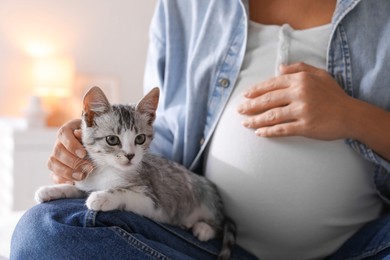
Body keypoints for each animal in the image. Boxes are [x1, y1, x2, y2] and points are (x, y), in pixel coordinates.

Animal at [35, 86, 236, 258]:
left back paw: (203, 228)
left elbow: (124, 192)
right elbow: (77, 188)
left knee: (220, 224)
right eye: (112, 139)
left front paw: (102, 197)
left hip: (206, 197)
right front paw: (51, 190)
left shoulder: (152, 201)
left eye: (140, 138)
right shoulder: (88, 178)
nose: (130, 155)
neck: (106, 169)